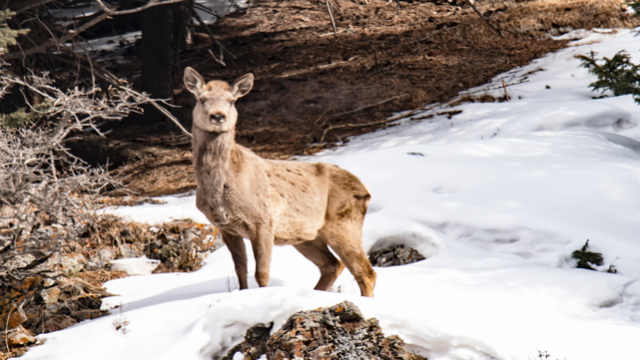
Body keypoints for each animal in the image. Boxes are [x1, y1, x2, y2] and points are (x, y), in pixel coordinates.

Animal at [182, 68, 378, 298]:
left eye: (231, 101)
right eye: (202, 99)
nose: (218, 116)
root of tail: (366, 190)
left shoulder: (263, 221)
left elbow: (262, 273)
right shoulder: (226, 228)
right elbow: (240, 271)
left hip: (344, 222)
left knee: (365, 272)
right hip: (306, 236)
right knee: (333, 265)